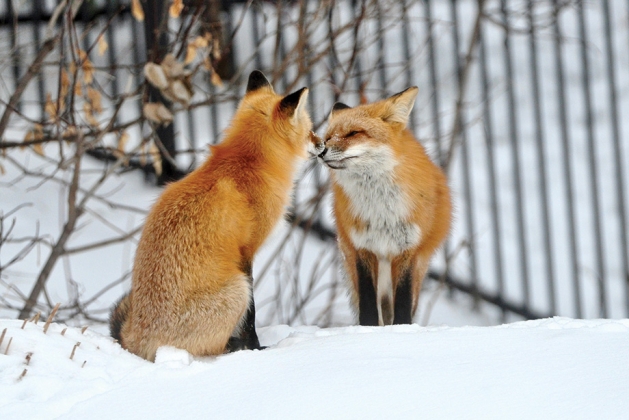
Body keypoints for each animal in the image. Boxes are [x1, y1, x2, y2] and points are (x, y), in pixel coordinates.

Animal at [111, 70, 314, 360]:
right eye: (310, 130)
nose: (321, 143)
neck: (248, 163)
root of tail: (134, 341)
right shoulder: (246, 253)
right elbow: (251, 318)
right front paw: (255, 348)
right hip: (237, 289)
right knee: (214, 347)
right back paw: (232, 346)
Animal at [314, 87, 452, 326]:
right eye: (328, 137)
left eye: (354, 133)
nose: (321, 151)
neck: (381, 211)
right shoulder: (362, 248)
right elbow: (368, 304)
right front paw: (368, 329)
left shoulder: (408, 250)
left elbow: (403, 303)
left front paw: (402, 329)